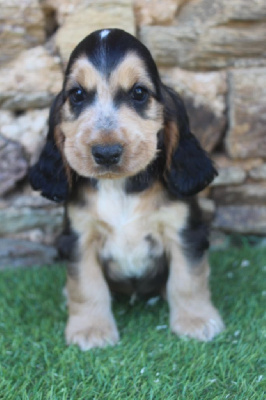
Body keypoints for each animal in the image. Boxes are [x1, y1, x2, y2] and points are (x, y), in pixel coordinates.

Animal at [29, 28, 224, 350]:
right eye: (77, 95)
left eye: (139, 93)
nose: (106, 153)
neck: (119, 186)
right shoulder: (79, 238)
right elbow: (86, 286)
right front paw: (91, 330)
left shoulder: (184, 232)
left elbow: (188, 280)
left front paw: (196, 322)